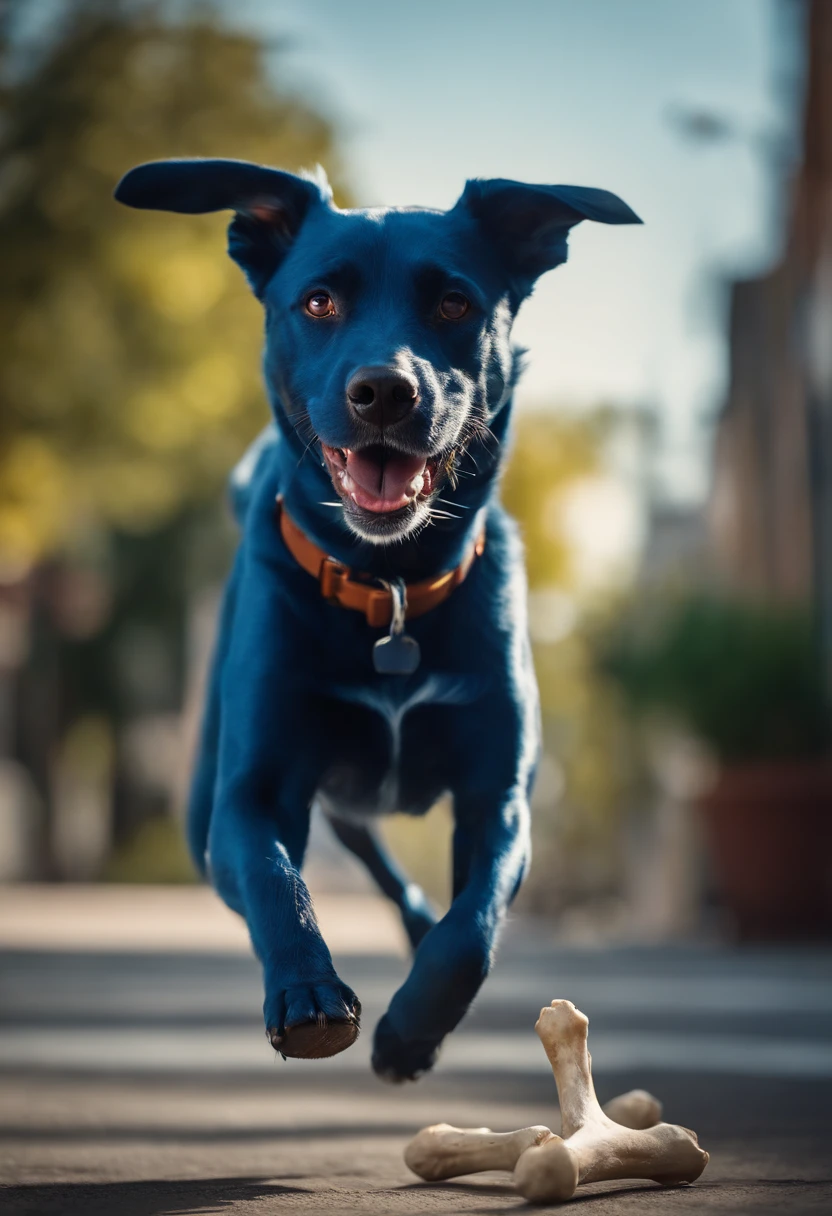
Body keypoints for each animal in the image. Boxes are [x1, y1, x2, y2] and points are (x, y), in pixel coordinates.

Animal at [113, 156, 642, 1079]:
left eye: (455, 303)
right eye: (320, 301)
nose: (385, 392)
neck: (390, 589)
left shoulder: (499, 797)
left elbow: (472, 932)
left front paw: (410, 1033)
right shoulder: (250, 795)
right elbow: (277, 884)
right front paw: (309, 995)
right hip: (224, 804)